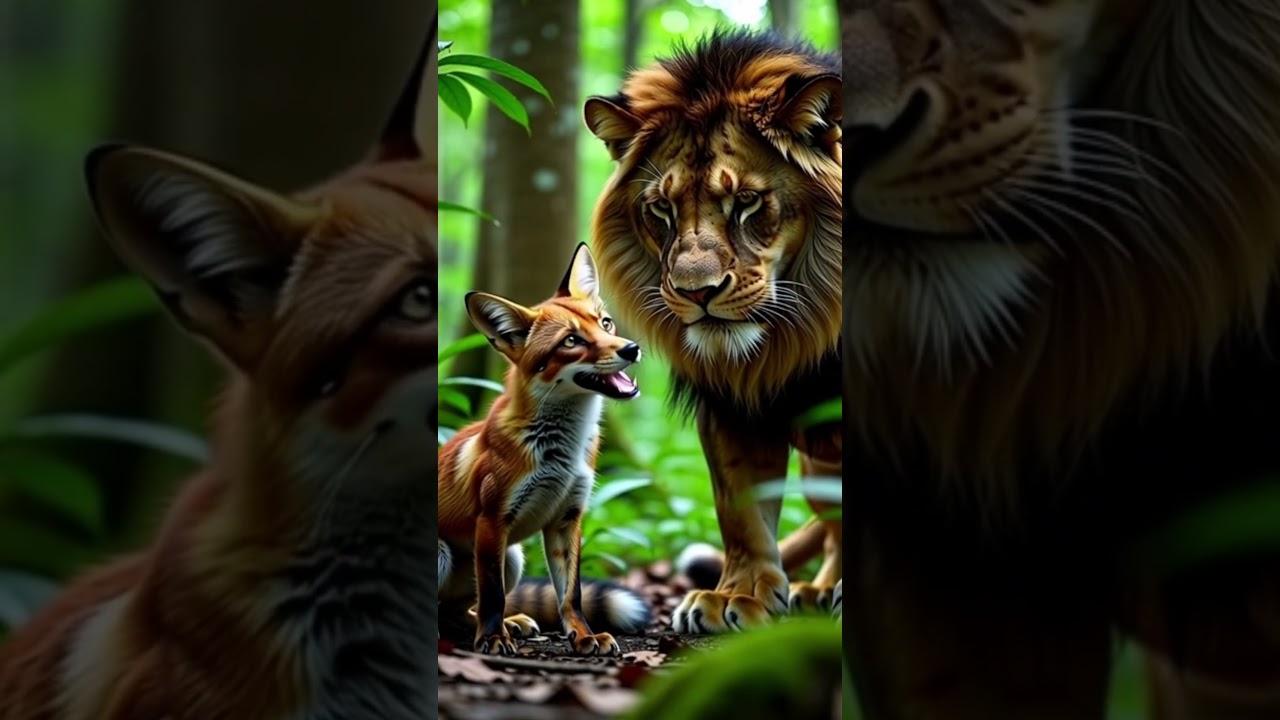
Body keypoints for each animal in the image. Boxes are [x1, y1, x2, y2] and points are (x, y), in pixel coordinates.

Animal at [437, 243, 652, 657]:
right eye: (571, 341)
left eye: (605, 324)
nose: (632, 349)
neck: (561, 454)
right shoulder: (492, 520)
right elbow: (493, 596)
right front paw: (492, 638)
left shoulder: (567, 517)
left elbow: (571, 594)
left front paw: (584, 636)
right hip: (458, 554)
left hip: (512, 559)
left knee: (454, 610)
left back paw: (510, 623)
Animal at [582, 29, 842, 633]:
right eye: (661, 208)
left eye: (746, 201)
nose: (698, 291)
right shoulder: (730, 404)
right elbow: (740, 506)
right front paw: (737, 596)